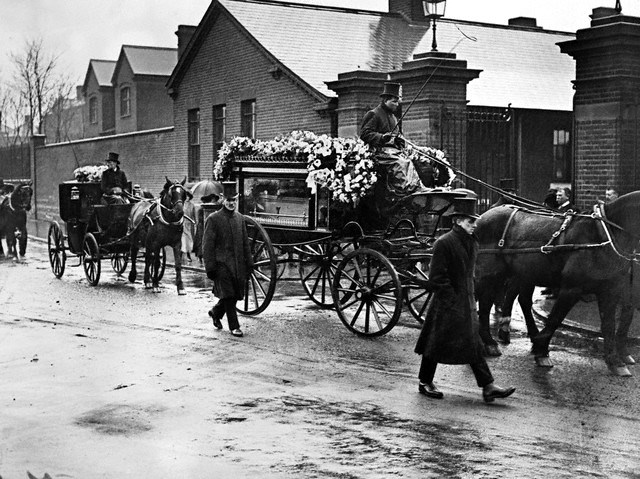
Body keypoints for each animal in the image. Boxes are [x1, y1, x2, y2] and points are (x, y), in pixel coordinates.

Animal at [476, 193, 640, 376]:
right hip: (490, 273)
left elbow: (609, 325)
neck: (603, 235)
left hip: (513, 274)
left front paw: (615, 362)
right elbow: (555, 319)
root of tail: (485, 215)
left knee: (502, 301)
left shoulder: (609, 291)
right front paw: (541, 351)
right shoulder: (572, 289)